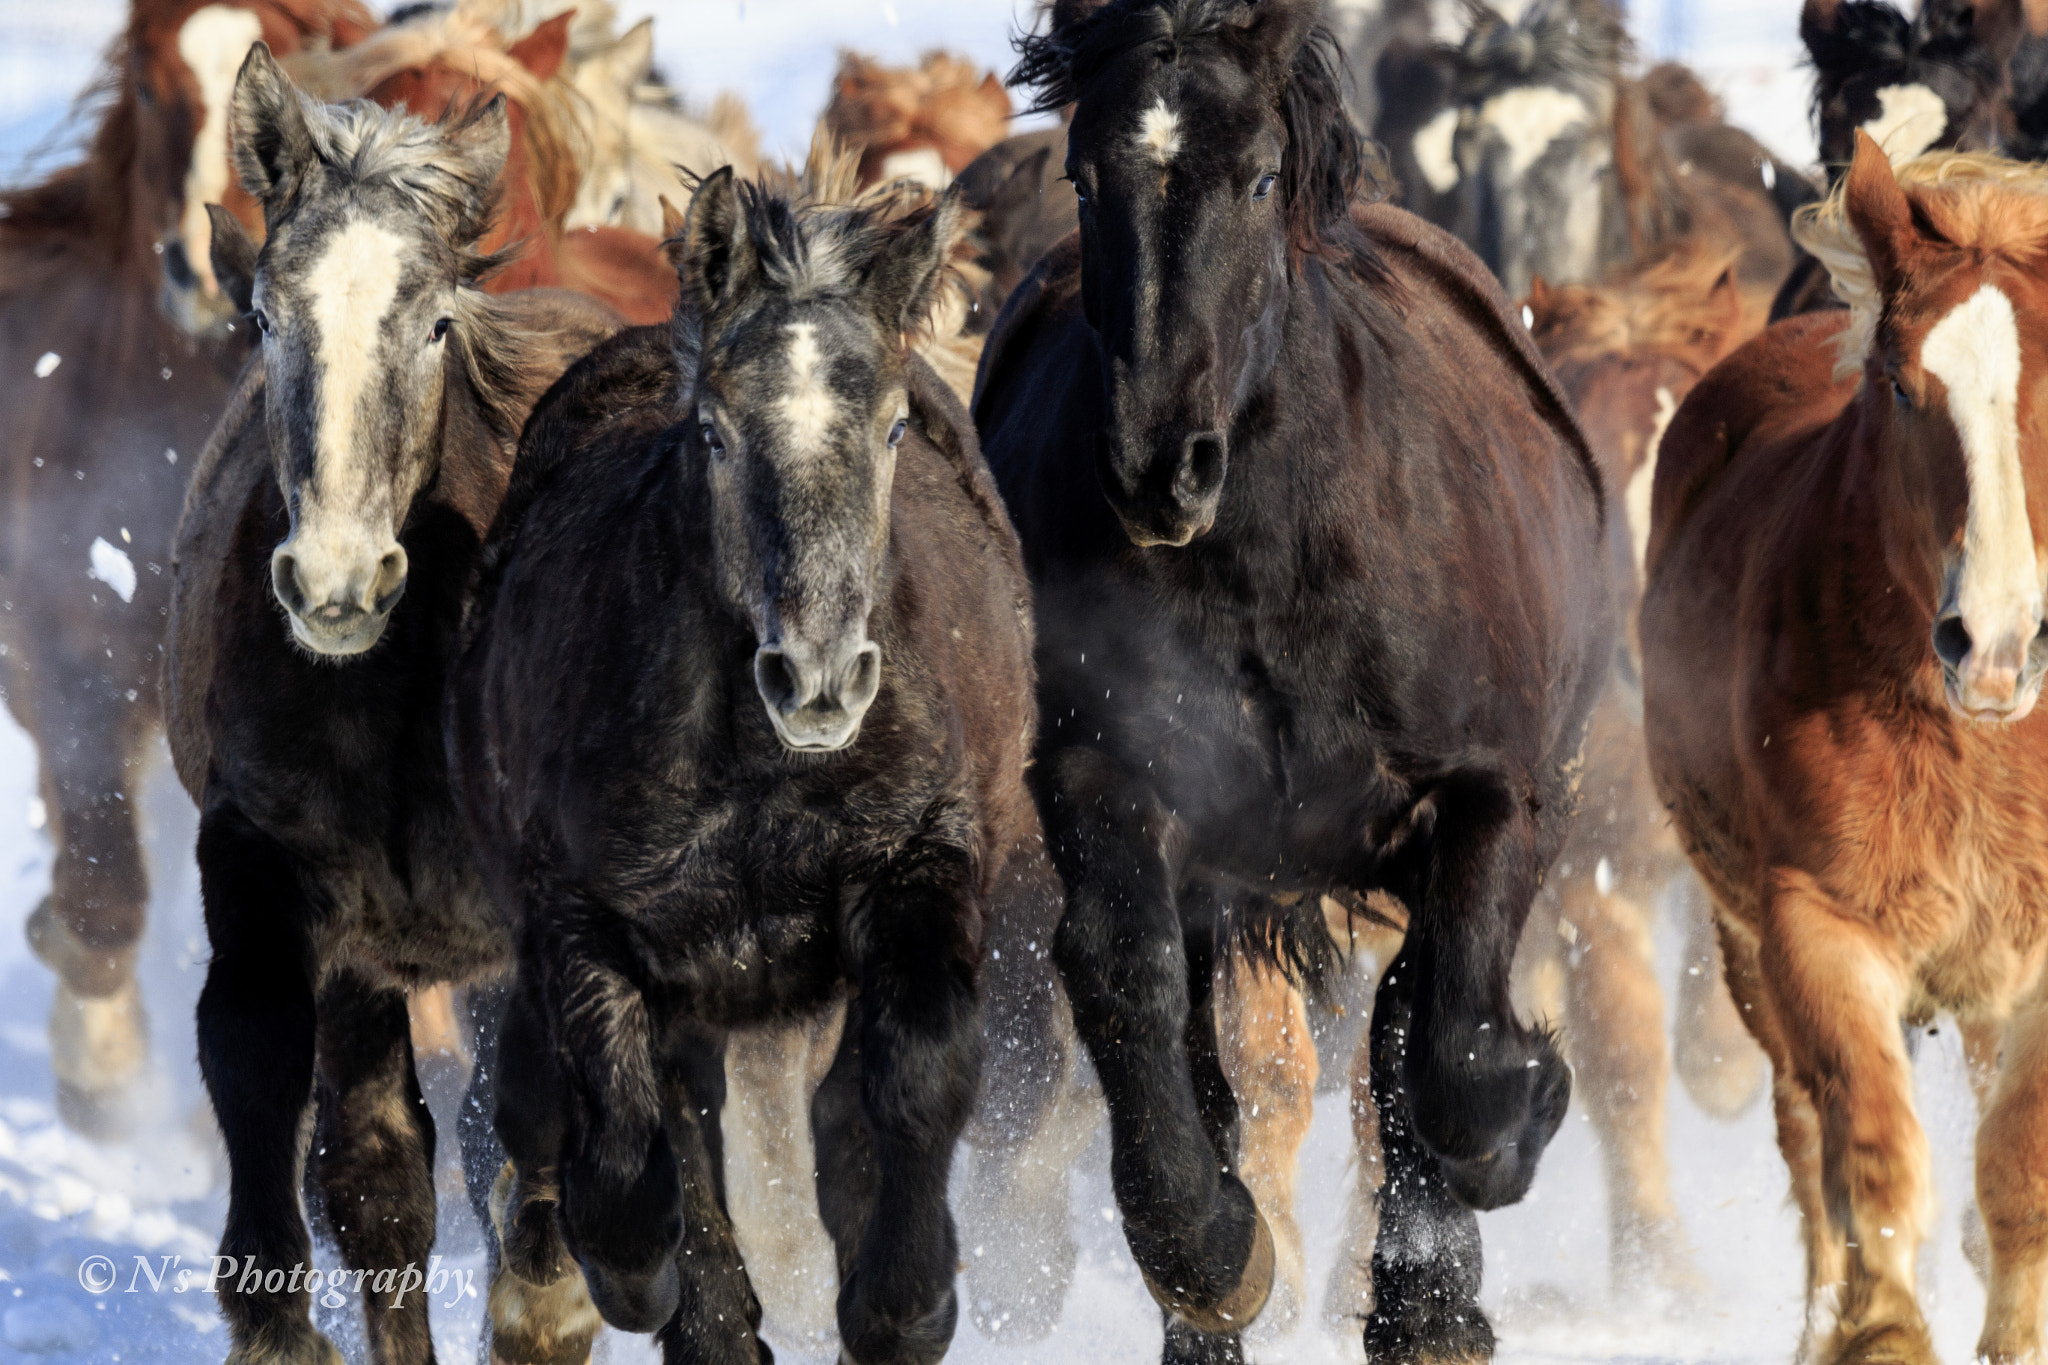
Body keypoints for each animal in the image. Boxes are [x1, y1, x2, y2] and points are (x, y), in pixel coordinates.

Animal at [448, 170, 1056, 1365]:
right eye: (716, 430)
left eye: (892, 425)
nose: (817, 677)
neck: (762, 777)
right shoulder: (593, 921)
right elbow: (636, 1146)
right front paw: (638, 1284)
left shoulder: (914, 867)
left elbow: (914, 1073)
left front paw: (906, 1300)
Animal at [974, 5, 1613, 1358]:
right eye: (1083, 177)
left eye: (1261, 178)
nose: (1157, 467)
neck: (1273, 571)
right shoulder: (1111, 788)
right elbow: (1129, 990)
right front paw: (1212, 1256)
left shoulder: (1492, 796)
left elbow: (1449, 1053)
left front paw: (1520, 1124)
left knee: (1411, 1019)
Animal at [1646, 130, 2048, 1365]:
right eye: (1901, 385)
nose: (1994, 642)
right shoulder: (1817, 923)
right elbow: (1868, 1150)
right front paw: (1876, 1332)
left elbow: (2017, 1165)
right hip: (1738, 942)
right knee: (1801, 1128)